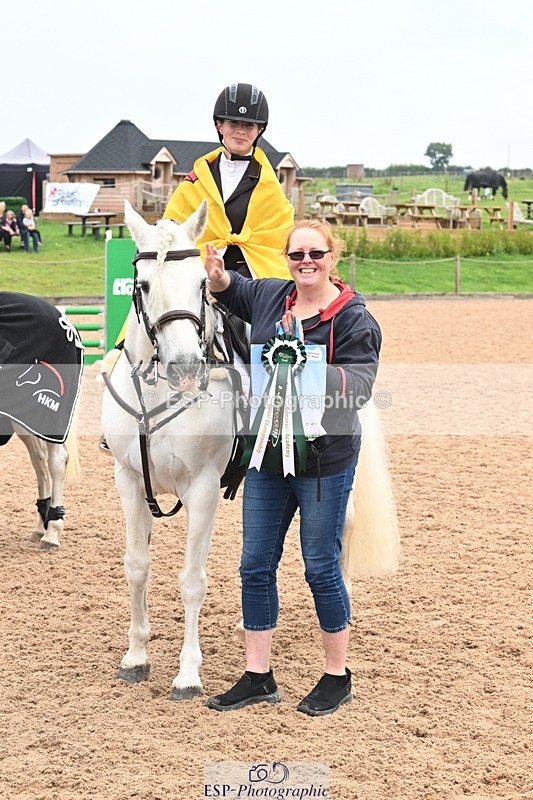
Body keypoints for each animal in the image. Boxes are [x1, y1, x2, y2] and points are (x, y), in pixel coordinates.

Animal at [0, 291, 83, 548]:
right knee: (40, 461)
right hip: (25, 415)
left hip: (51, 413)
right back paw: (41, 523)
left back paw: (52, 531)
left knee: (56, 461)